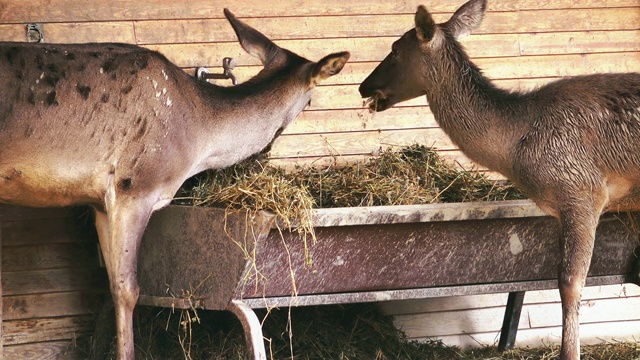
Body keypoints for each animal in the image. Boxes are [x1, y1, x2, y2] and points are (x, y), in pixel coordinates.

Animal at [0, 9, 350, 360]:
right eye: (310, 101)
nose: (268, 150)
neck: (198, 140)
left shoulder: (99, 203)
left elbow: (109, 284)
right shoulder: (135, 187)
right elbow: (128, 290)